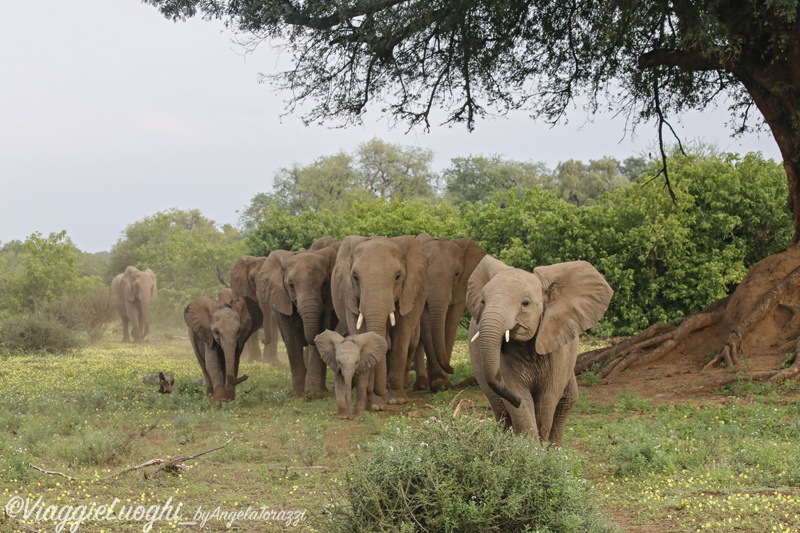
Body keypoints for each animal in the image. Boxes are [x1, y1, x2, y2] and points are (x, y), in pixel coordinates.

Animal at [258, 247, 340, 396]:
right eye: (291, 285)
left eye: (325, 283)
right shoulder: (281, 300)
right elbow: (290, 338)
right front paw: (296, 395)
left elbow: (322, 329)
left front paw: (313, 395)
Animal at [332, 235, 432, 406]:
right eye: (355, 277)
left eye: (398, 276)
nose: (377, 391)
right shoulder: (349, 295)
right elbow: (360, 333)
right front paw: (374, 404)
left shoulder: (410, 292)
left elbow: (401, 337)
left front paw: (396, 400)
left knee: (411, 344)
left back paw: (403, 386)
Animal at [412, 235, 488, 392]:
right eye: (425, 271)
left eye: (457, 274)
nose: (451, 369)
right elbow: (426, 325)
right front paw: (438, 383)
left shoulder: (461, 288)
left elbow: (452, 323)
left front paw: (443, 383)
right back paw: (421, 385)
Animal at [462, 256, 612, 442]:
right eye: (483, 302)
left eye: (525, 303)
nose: (515, 400)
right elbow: (521, 403)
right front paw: (528, 447)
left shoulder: (558, 348)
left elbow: (547, 400)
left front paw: (539, 448)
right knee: (501, 411)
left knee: (566, 402)